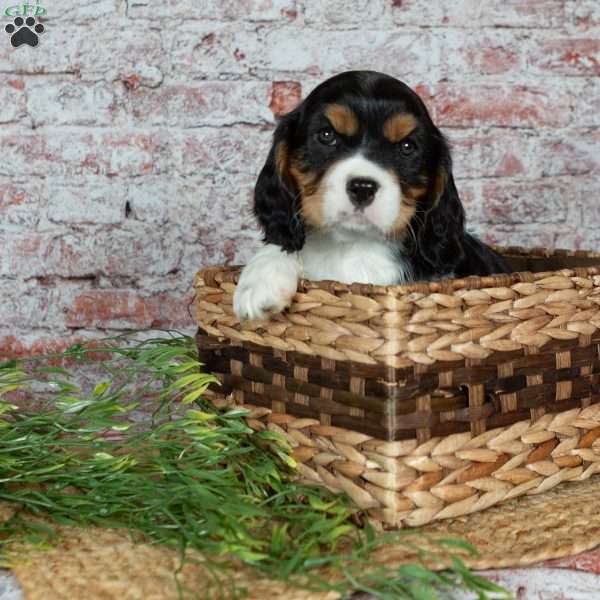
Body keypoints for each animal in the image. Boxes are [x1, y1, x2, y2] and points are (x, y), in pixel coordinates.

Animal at [234, 70, 510, 322]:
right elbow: (282, 242)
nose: (363, 187)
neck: (354, 245)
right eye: (326, 135)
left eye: (407, 147)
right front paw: (260, 282)